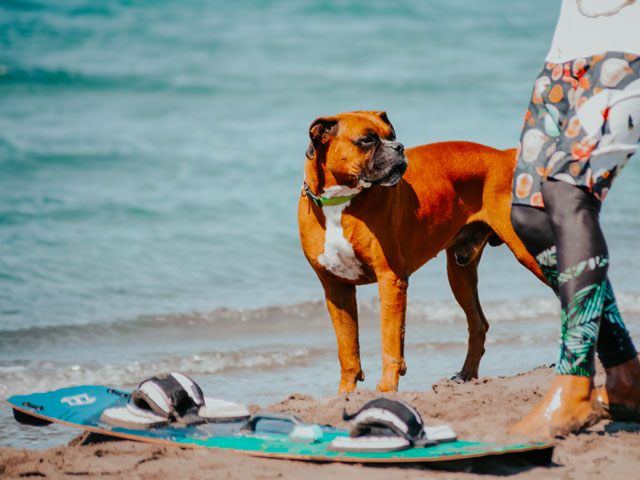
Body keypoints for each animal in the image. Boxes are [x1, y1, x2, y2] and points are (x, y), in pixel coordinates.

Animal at [298, 111, 544, 394]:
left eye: (391, 135)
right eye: (367, 140)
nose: (399, 147)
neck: (339, 202)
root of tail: (505, 154)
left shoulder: (390, 280)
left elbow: (390, 341)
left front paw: (386, 389)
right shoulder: (336, 289)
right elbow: (348, 348)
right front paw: (345, 396)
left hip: (529, 255)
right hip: (460, 276)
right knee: (478, 324)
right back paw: (466, 375)